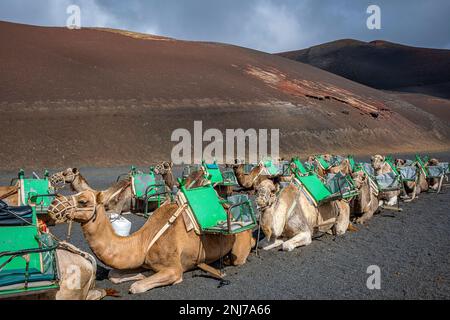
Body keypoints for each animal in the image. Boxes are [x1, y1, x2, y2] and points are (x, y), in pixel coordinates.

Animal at [48, 190, 256, 296]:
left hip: (240, 246)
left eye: (83, 201)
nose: (53, 205)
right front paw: (142, 274)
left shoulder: (174, 269)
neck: (143, 241)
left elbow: (136, 287)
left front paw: (140, 280)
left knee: (238, 257)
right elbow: (114, 276)